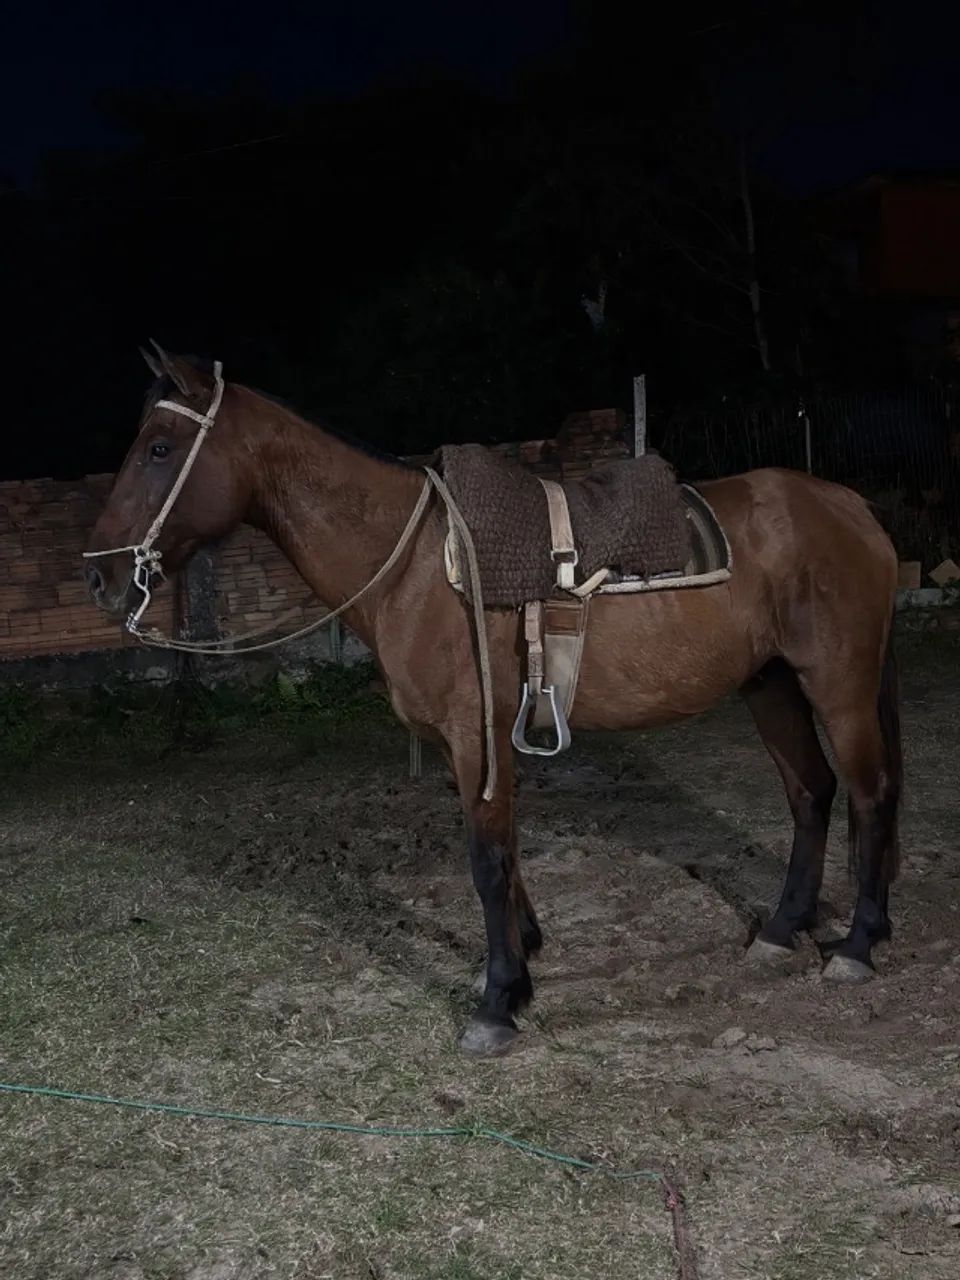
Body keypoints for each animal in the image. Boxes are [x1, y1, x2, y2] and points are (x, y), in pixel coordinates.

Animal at [85, 346, 903, 1057]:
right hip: (770, 684)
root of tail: (850, 506)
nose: (100, 576)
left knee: (868, 794)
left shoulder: (474, 734)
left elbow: (486, 860)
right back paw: (782, 930)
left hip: (838, 683)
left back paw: (858, 944)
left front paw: (497, 1002)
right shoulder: (477, 743)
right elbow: (503, 854)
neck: (410, 566)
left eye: (160, 449)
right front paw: (519, 965)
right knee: (811, 792)